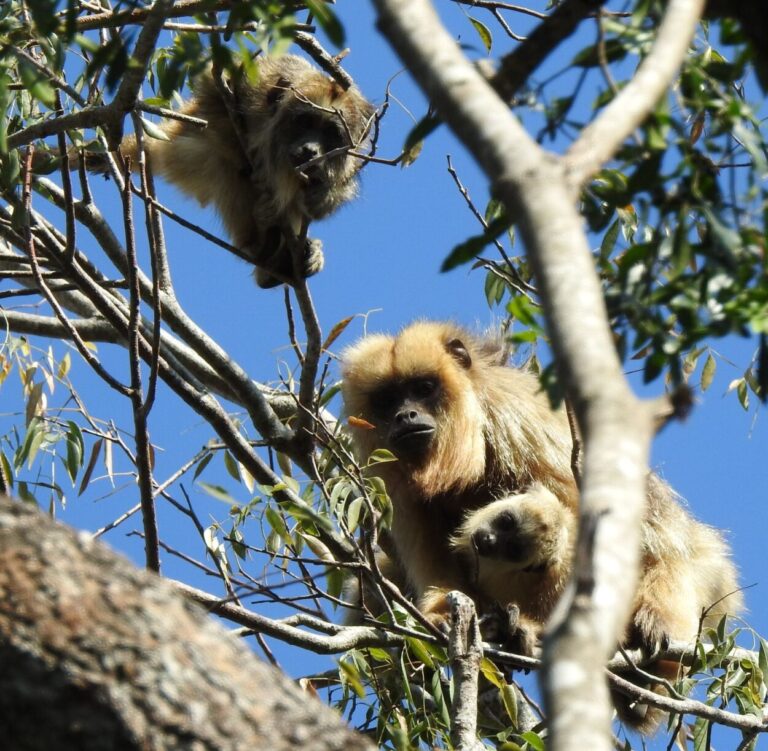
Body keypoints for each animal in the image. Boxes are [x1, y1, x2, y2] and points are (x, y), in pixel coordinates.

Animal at [74, 55, 376, 288]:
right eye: (304, 121)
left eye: (331, 134)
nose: (311, 149)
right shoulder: (258, 82)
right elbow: (214, 84)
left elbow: (332, 194)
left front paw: (322, 195)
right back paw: (263, 244)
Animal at [340, 322, 740, 736]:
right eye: (387, 399)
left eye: (423, 387)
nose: (405, 415)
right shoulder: (391, 480)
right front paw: (445, 617)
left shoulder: (518, 420)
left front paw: (531, 629)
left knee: (669, 543)